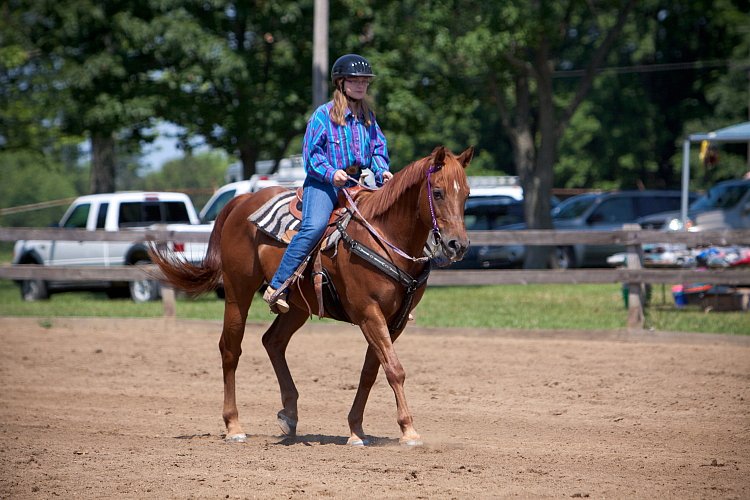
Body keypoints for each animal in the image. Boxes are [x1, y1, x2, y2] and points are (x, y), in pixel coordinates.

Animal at [150, 145, 472, 446]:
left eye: (467, 194)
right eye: (438, 192)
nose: (458, 245)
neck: (385, 236)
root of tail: (241, 202)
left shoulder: (395, 321)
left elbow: (371, 371)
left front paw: (356, 430)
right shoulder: (369, 312)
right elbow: (394, 369)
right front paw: (408, 430)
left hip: (296, 306)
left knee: (273, 341)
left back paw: (289, 416)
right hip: (237, 292)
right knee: (230, 349)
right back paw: (234, 426)